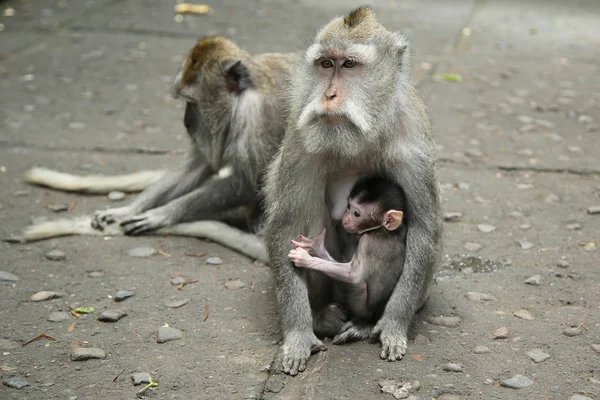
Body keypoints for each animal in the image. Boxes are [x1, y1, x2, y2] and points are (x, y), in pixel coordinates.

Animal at [288, 177, 408, 344]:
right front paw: (316, 247)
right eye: (349, 206)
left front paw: (305, 259)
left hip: (362, 308)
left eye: (356, 214)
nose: (345, 219)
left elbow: (353, 275)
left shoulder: (368, 242)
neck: (381, 230)